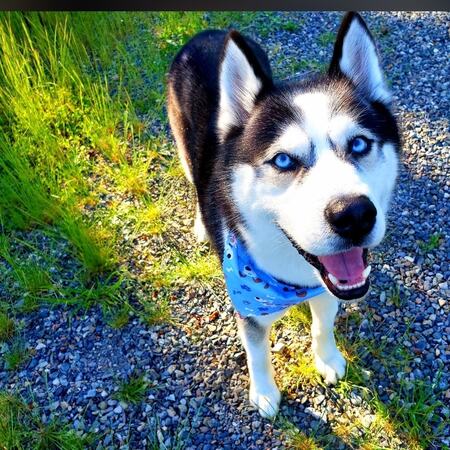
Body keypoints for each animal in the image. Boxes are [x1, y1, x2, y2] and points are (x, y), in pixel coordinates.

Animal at [169, 11, 400, 418]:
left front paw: (327, 359)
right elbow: (257, 353)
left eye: (359, 143)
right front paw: (263, 392)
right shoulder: (249, 307)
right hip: (181, 141)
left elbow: (323, 325)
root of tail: (206, 33)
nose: (354, 215)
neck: (294, 272)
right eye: (283, 160)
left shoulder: (325, 287)